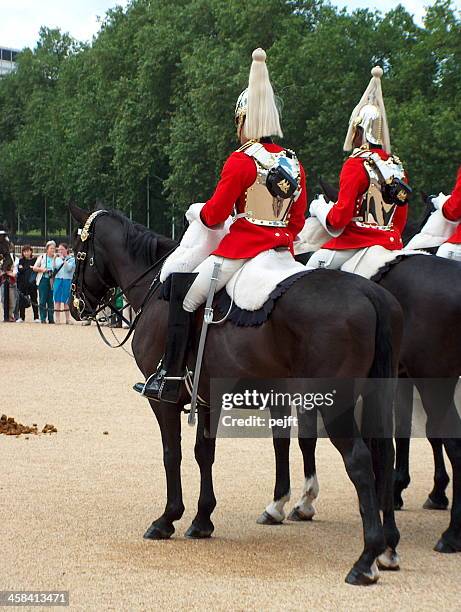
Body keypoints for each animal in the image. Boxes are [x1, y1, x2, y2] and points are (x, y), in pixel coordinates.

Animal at [69, 204, 402, 584]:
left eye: (78, 253)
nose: (76, 305)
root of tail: (370, 293)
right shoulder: (206, 398)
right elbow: (204, 453)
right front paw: (202, 519)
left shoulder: (162, 402)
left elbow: (172, 454)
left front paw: (168, 518)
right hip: (374, 399)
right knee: (385, 455)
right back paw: (388, 547)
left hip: (334, 405)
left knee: (360, 461)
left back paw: (366, 559)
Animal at [290, 184, 460, 556]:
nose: (296, 241)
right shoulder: (398, 377)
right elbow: (398, 433)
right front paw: (395, 495)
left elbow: (310, 435)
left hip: (435, 381)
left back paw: (451, 534)